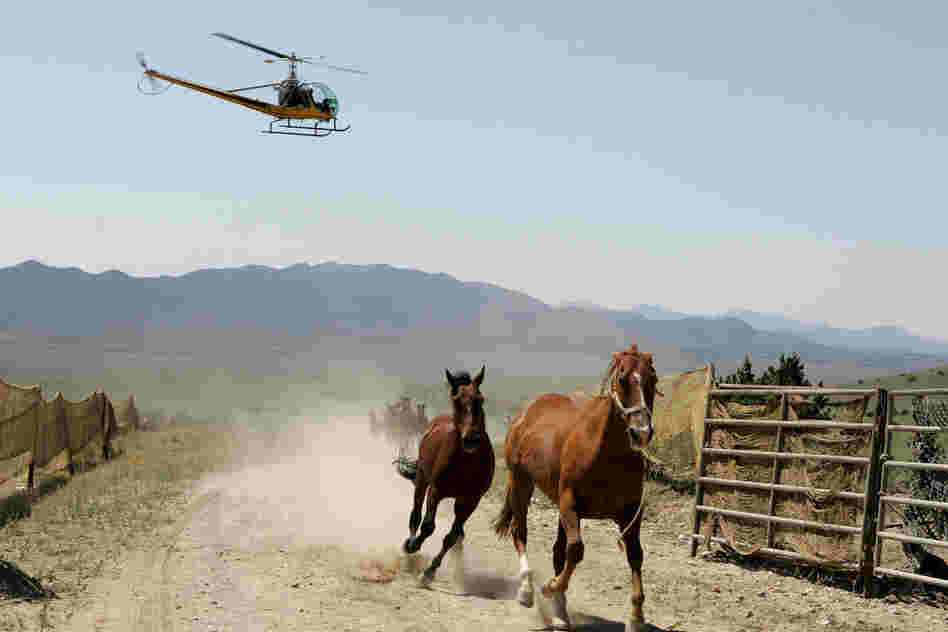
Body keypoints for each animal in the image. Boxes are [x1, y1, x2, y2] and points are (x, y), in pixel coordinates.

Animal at [395, 366, 495, 587]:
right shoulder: (436, 490)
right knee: (416, 513)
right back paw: (410, 544)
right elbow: (428, 526)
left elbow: (451, 536)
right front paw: (412, 546)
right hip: (422, 480)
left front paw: (430, 571)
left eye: (481, 399)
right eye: (456, 400)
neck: (467, 461)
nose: (471, 439)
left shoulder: (470, 500)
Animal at [493, 346, 660, 632]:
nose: (641, 432)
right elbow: (576, 550)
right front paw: (549, 587)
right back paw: (527, 590)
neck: (606, 454)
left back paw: (560, 615)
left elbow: (635, 555)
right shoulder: (570, 504)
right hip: (521, 483)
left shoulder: (629, 513)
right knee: (520, 532)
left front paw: (636, 617)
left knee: (558, 552)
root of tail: (526, 413)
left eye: (653, 380)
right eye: (622, 379)